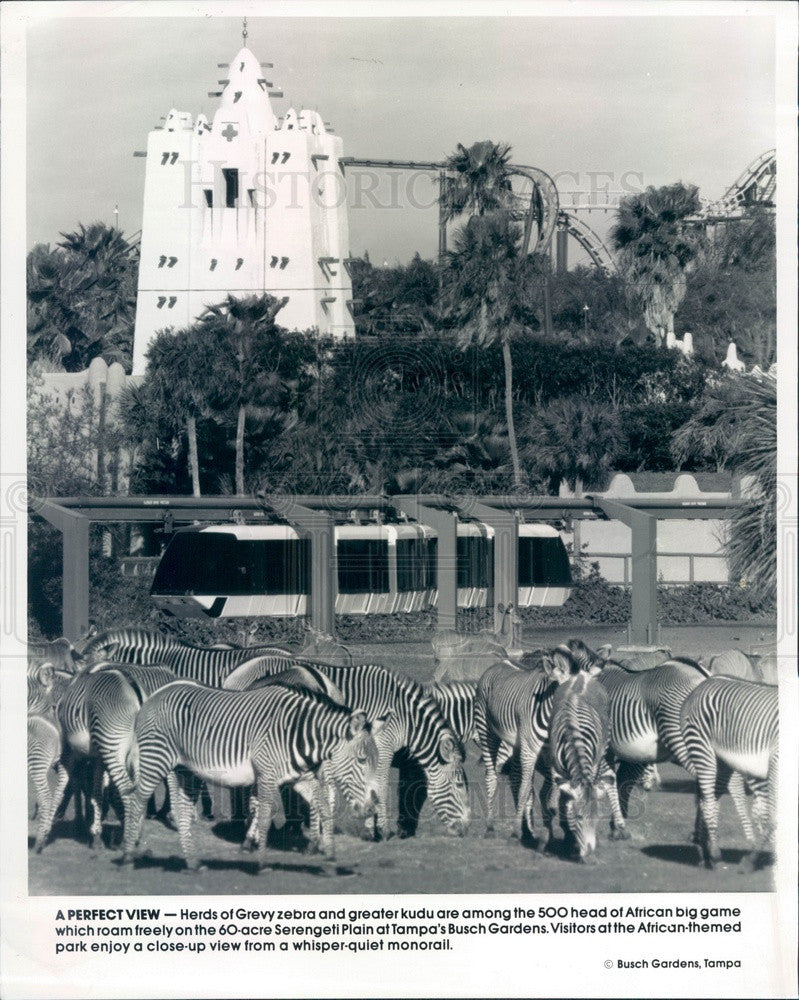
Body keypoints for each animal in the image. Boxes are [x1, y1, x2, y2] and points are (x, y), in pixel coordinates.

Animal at [122, 684, 388, 872]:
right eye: (362, 760)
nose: (370, 809)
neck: (297, 734)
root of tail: (151, 698)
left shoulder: (299, 778)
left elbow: (323, 807)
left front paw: (330, 856)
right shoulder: (266, 775)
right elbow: (265, 815)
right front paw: (261, 862)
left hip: (184, 770)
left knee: (182, 811)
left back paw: (192, 863)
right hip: (156, 759)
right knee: (137, 801)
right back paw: (128, 855)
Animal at [220, 656, 468, 836]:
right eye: (459, 785)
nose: (466, 830)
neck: (404, 716)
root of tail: (236, 672)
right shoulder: (382, 747)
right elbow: (381, 784)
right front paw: (379, 830)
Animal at [540, 672, 620, 860]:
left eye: (597, 818)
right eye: (578, 817)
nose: (590, 854)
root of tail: (582, 675)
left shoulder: (594, 765)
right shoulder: (557, 770)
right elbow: (561, 803)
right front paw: (569, 839)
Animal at [680, 680, 780, 868]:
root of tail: (702, 685)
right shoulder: (776, 763)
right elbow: (772, 817)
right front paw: (750, 861)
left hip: (723, 763)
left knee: (709, 800)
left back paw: (705, 852)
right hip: (703, 750)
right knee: (708, 802)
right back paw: (715, 855)